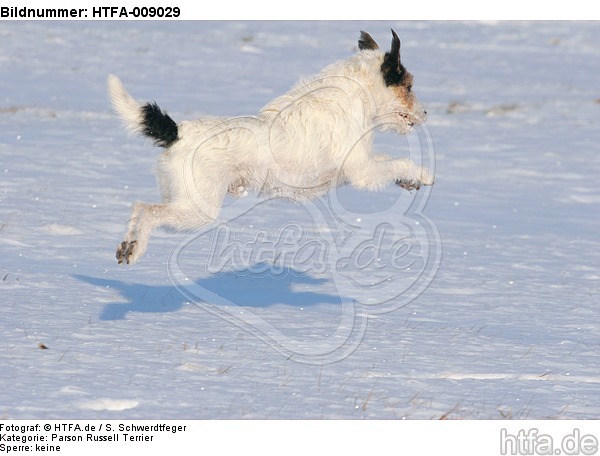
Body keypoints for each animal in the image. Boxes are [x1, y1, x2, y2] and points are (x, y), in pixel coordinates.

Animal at [108, 30, 434, 264]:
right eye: (408, 87)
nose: (426, 113)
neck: (357, 94)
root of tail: (178, 132)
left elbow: (393, 167)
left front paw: (410, 181)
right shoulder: (363, 170)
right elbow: (397, 162)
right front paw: (423, 174)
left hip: (181, 200)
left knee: (139, 208)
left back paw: (128, 245)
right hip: (197, 210)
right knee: (148, 210)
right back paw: (134, 249)